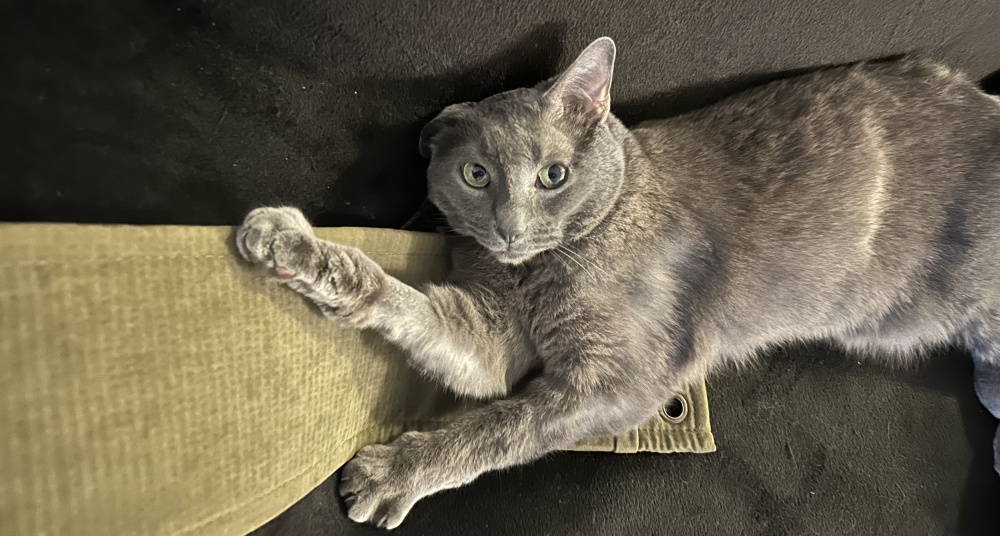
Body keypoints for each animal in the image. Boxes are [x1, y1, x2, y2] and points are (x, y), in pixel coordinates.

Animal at [238, 37, 1000, 528]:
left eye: (553, 175)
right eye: (475, 175)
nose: (509, 227)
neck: (535, 270)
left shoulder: (622, 380)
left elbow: (497, 428)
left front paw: (389, 476)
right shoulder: (489, 339)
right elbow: (410, 308)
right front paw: (290, 245)